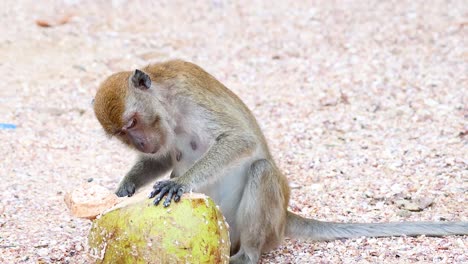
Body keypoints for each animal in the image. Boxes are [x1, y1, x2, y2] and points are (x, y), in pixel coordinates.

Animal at [93, 60, 466, 264]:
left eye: (133, 123)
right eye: (123, 134)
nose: (141, 142)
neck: (166, 98)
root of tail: (284, 217)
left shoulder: (190, 94)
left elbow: (241, 141)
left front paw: (179, 183)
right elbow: (163, 157)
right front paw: (125, 188)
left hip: (266, 225)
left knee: (262, 170)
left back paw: (247, 256)